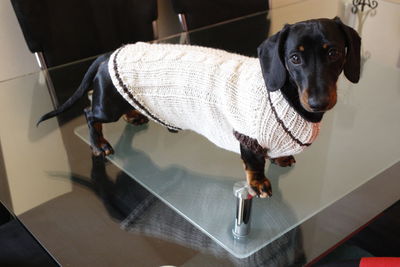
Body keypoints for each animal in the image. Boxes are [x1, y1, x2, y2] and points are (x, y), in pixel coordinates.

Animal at [38, 17, 362, 199]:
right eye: (295, 57)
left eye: (333, 52)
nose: (319, 101)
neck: (286, 97)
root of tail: (108, 54)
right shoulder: (246, 137)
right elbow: (254, 164)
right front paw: (258, 183)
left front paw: (281, 158)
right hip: (107, 105)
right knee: (90, 114)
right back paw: (99, 144)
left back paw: (134, 116)